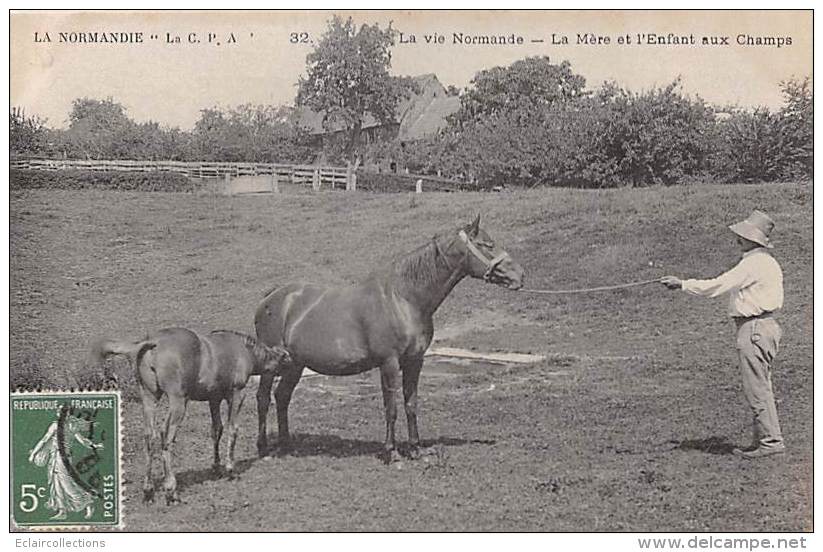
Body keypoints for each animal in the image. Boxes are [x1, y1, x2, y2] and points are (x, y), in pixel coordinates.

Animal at [87, 328, 290, 504]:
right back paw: (171, 490)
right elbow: (233, 429)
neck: (244, 350)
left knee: (149, 437)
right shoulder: (236, 394)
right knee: (166, 436)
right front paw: (230, 469)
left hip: (149, 397)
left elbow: (216, 430)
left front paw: (216, 467)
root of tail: (152, 343)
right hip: (178, 401)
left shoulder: (214, 398)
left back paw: (148, 490)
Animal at [258, 216, 524, 462]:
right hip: (272, 366)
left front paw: (415, 449)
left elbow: (410, 404)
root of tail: (271, 297)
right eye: (486, 244)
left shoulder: (415, 361)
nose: (520, 275)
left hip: (295, 365)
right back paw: (264, 449)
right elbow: (391, 407)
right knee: (263, 399)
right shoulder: (389, 363)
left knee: (282, 397)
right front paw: (392, 452)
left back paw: (286, 446)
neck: (404, 299)